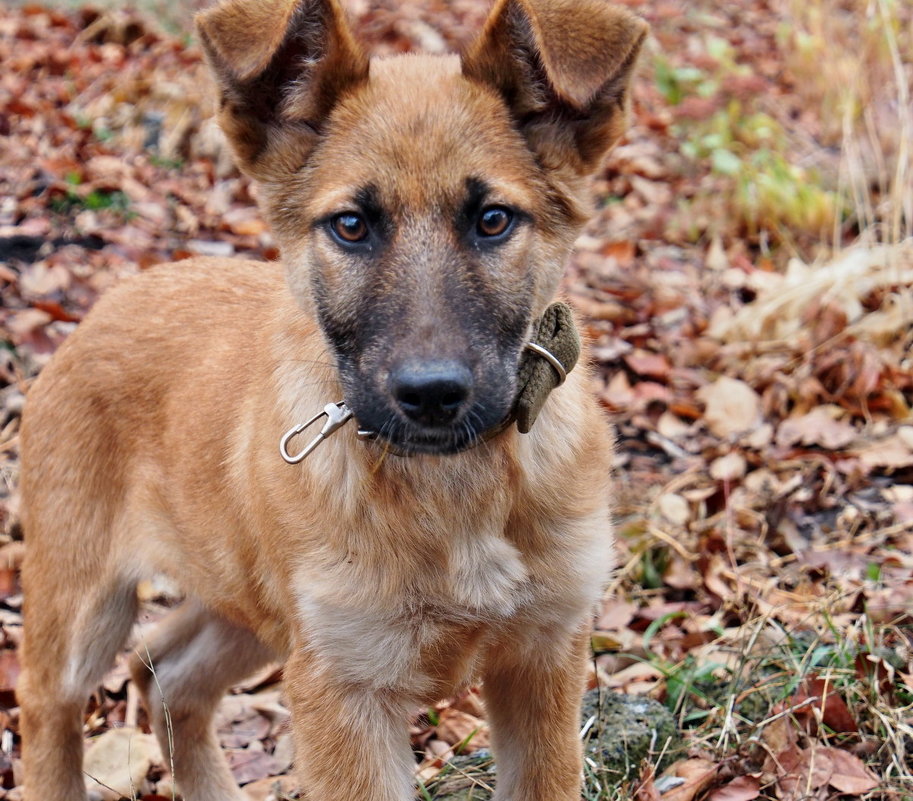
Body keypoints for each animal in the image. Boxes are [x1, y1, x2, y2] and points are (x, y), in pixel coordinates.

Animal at [19, 0, 648, 796]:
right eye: (351, 225)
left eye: (493, 220)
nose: (431, 394)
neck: (451, 491)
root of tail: (107, 303)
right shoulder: (344, 691)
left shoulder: (544, 657)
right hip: (86, 601)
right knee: (49, 704)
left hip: (251, 603)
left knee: (165, 668)